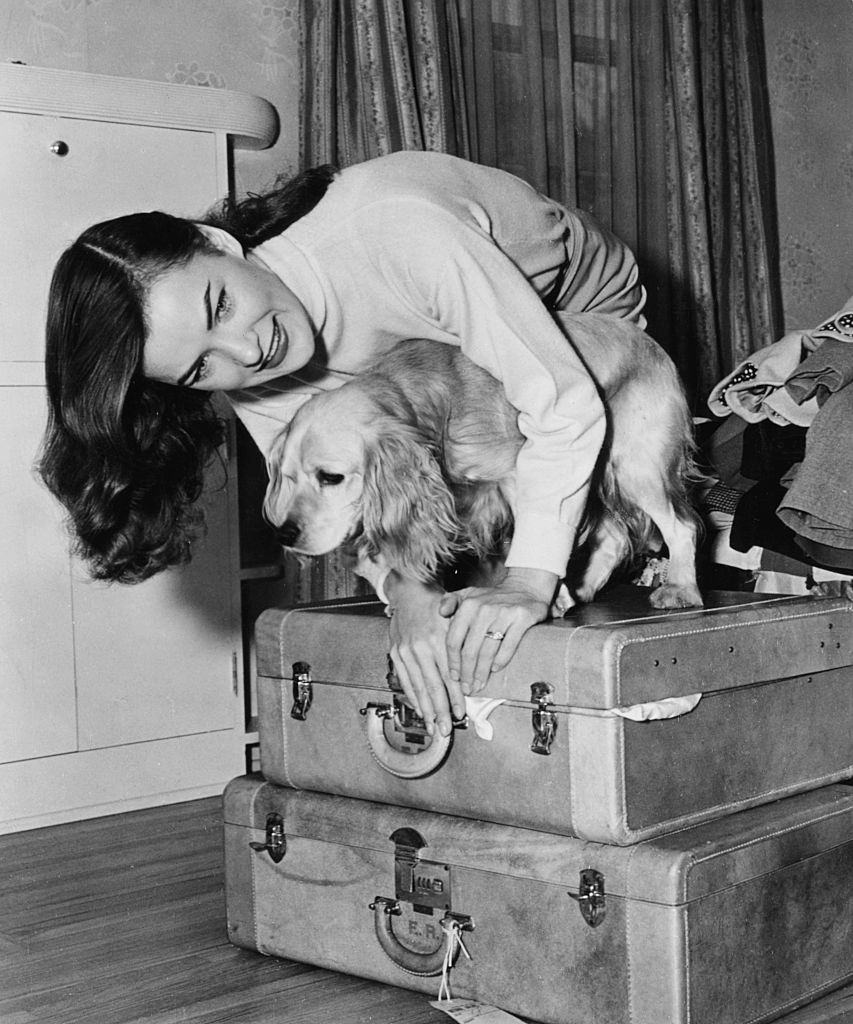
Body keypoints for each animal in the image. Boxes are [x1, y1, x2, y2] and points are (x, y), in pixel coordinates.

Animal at [262, 313, 700, 606]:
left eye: (330, 477)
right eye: (288, 478)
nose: (284, 534)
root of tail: (652, 345)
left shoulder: (519, 472)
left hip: (635, 466)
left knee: (682, 527)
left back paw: (680, 588)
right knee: (613, 535)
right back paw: (583, 589)